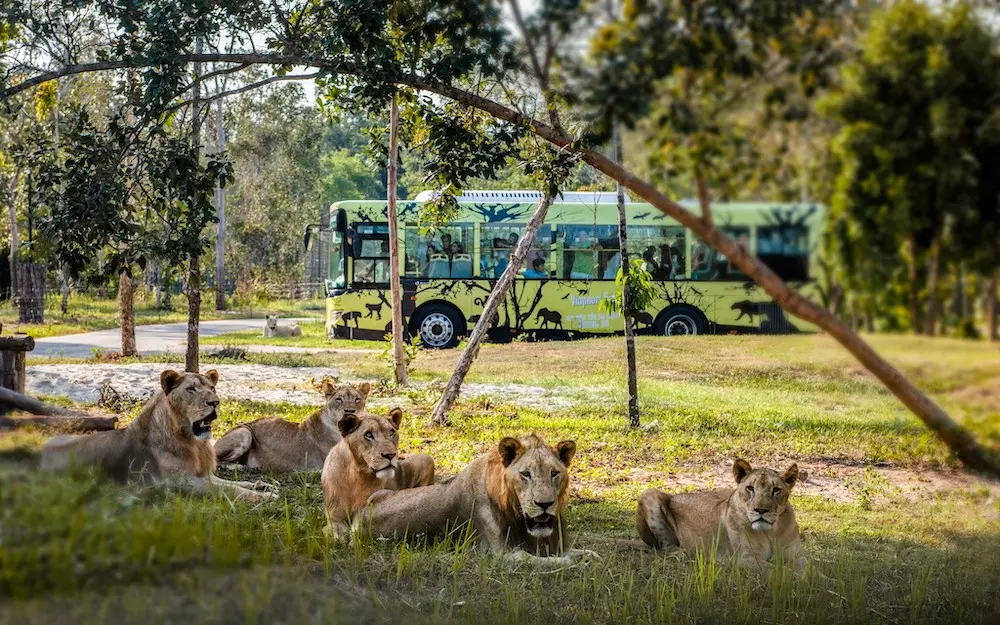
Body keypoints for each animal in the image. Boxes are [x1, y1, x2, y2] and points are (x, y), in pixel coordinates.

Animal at [40, 368, 274, 500]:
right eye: (191, 389)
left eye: (212, 388)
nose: (215, 402)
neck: (195, 443)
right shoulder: (180, 482)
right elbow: (228, 491)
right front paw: (265, 497)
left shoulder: (203, 475)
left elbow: (234, 484)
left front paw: (263, 485)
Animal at [356, 434, 596, 564]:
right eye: (525, 474)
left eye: (554, 473)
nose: (544, 504)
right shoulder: (502, 554)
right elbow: (551, 561)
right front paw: (573, 563)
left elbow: (584, 552)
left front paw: (590, 556)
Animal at [636, 458, 808, 572]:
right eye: (750, 488)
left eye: (776, 490)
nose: (760, 510)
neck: (771, 531)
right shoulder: (744, 559)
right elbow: (778, 570)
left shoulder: (796, 555)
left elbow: (808, 567)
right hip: (648, 493)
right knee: (664, 546)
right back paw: (681, 553)